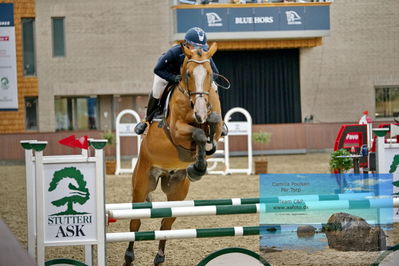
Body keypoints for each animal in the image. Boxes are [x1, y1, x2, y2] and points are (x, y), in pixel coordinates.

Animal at [124, 42, 223, 264]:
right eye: (187, 74)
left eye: (210, 73)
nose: (200, 113)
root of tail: (163, 173)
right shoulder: (176, 130)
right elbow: (198, 134)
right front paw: (197, 167)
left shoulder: (216, 126)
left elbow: (211, 128)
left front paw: (198, 167)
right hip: (142, 184)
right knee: (135, 222)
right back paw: (129, 256)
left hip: (177, 190)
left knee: (166, 224)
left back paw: (160, 257)